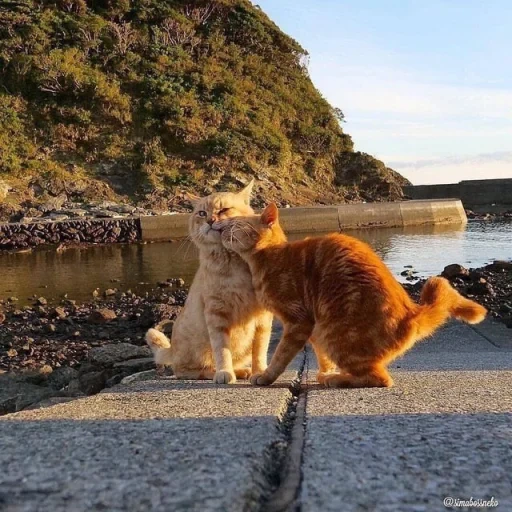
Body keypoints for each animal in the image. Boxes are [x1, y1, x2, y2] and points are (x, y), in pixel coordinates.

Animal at [145, 182, 272, 382]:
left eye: (224, 210)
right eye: (202, 213)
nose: (210, 221)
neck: (234, 264)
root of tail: (172, 348)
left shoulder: (263, 317)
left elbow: (259, 351)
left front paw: (259, 373)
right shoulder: (216, 314)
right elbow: (222, 350)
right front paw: (224, 372)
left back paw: (242, 370)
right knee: (186, 370)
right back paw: (216, 373)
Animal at [215, 204, 484, 388]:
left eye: (235, 223)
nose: (219, 226)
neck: (266, 259)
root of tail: (413, 314)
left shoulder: (299, 322)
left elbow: (281, 356)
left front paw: (266, 376)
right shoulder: (313, 330)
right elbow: (321, 356)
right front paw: (324, 371)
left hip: (338, 335)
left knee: (379, 378)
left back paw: (337, 379)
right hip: (327, 332)